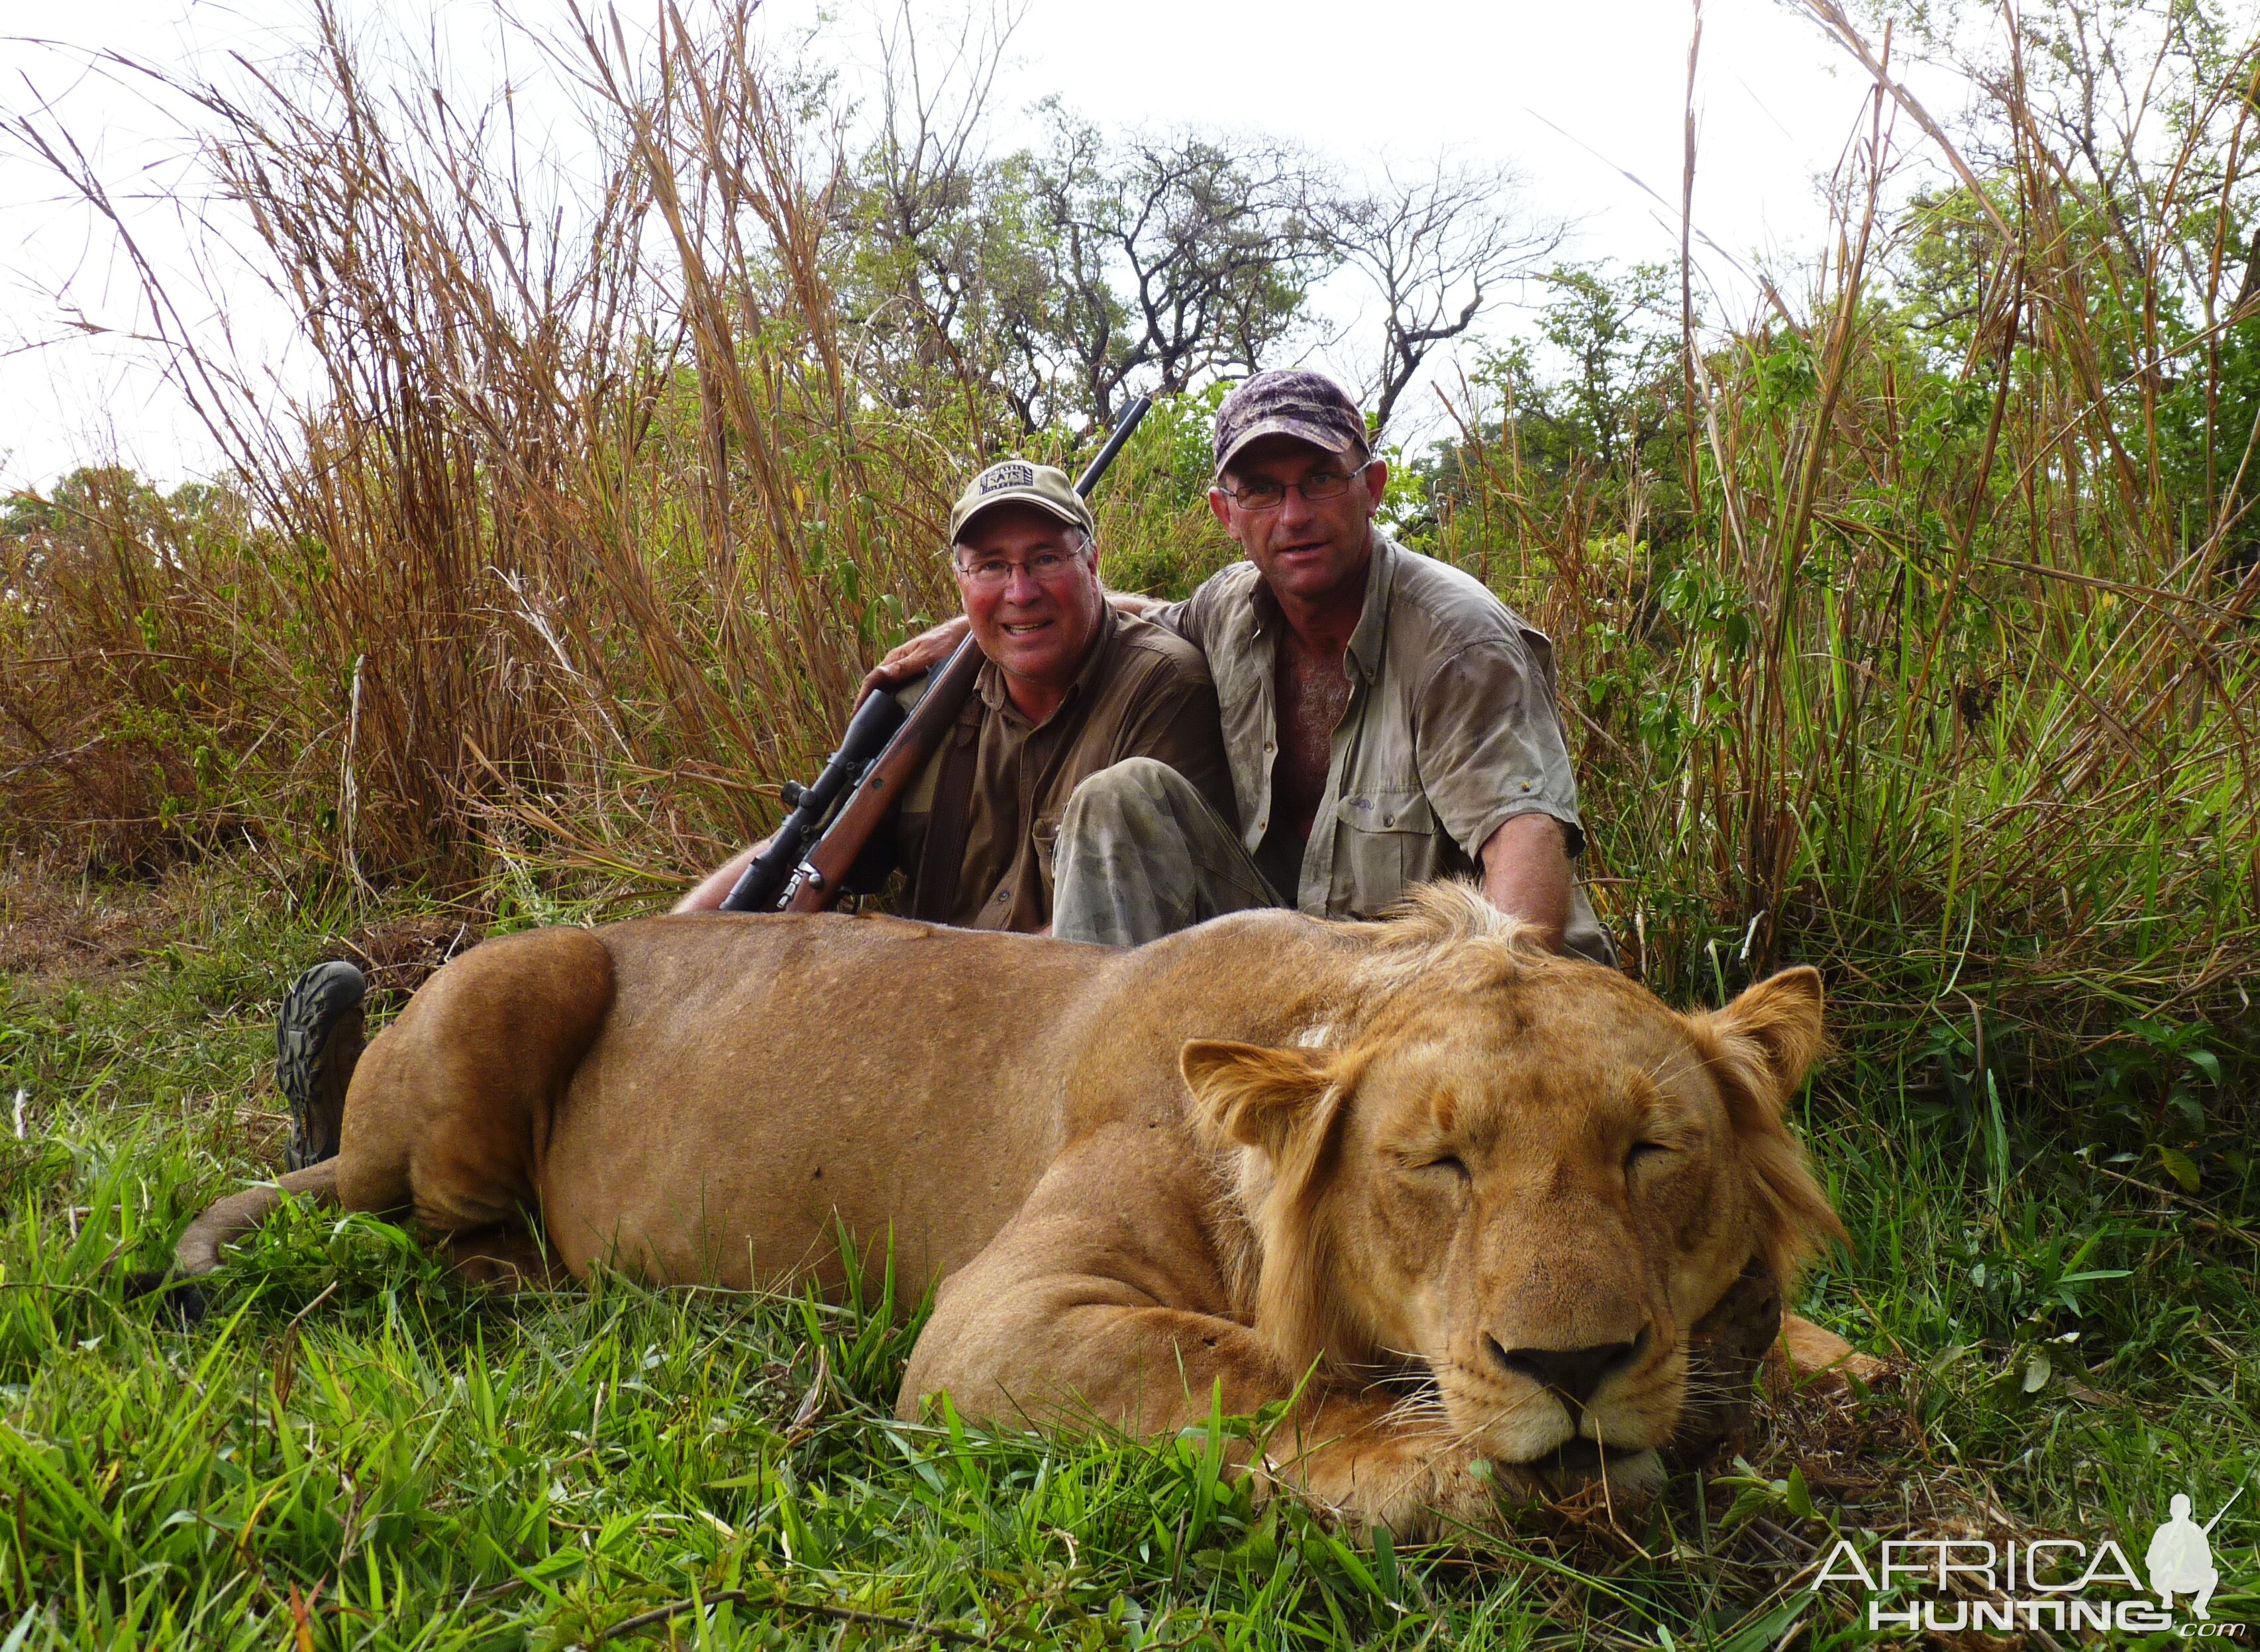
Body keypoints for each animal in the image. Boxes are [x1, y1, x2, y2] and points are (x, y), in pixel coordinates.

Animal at [185, 886, 1853, 1545]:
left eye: (1648, 1150)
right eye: (1434, 1164)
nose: (1570, 1367)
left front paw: (1829, 1360)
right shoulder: (998, 1322)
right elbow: (1248, 1367)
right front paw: (1456, 1467)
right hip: (512, 985)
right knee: (434, 1223)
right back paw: (531, 1284)